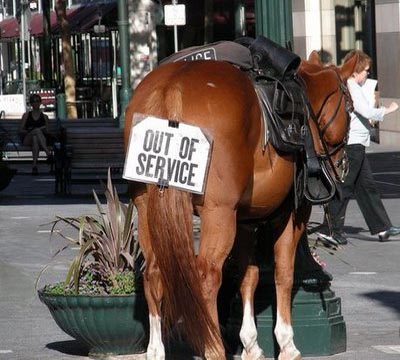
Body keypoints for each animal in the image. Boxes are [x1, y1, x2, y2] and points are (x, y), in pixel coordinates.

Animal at [123, 51, 358, 360]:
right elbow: (284, 273)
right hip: (218, 214)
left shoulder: (245, 221)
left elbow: (249, 276)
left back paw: (156, 349)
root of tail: (173, 86)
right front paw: (287, 343)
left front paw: (250, 343)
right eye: (351, 108)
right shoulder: (293, 215)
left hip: (147, 207)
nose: (342, 164)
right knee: (207, 275)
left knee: (153, 273)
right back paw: (213, 348)